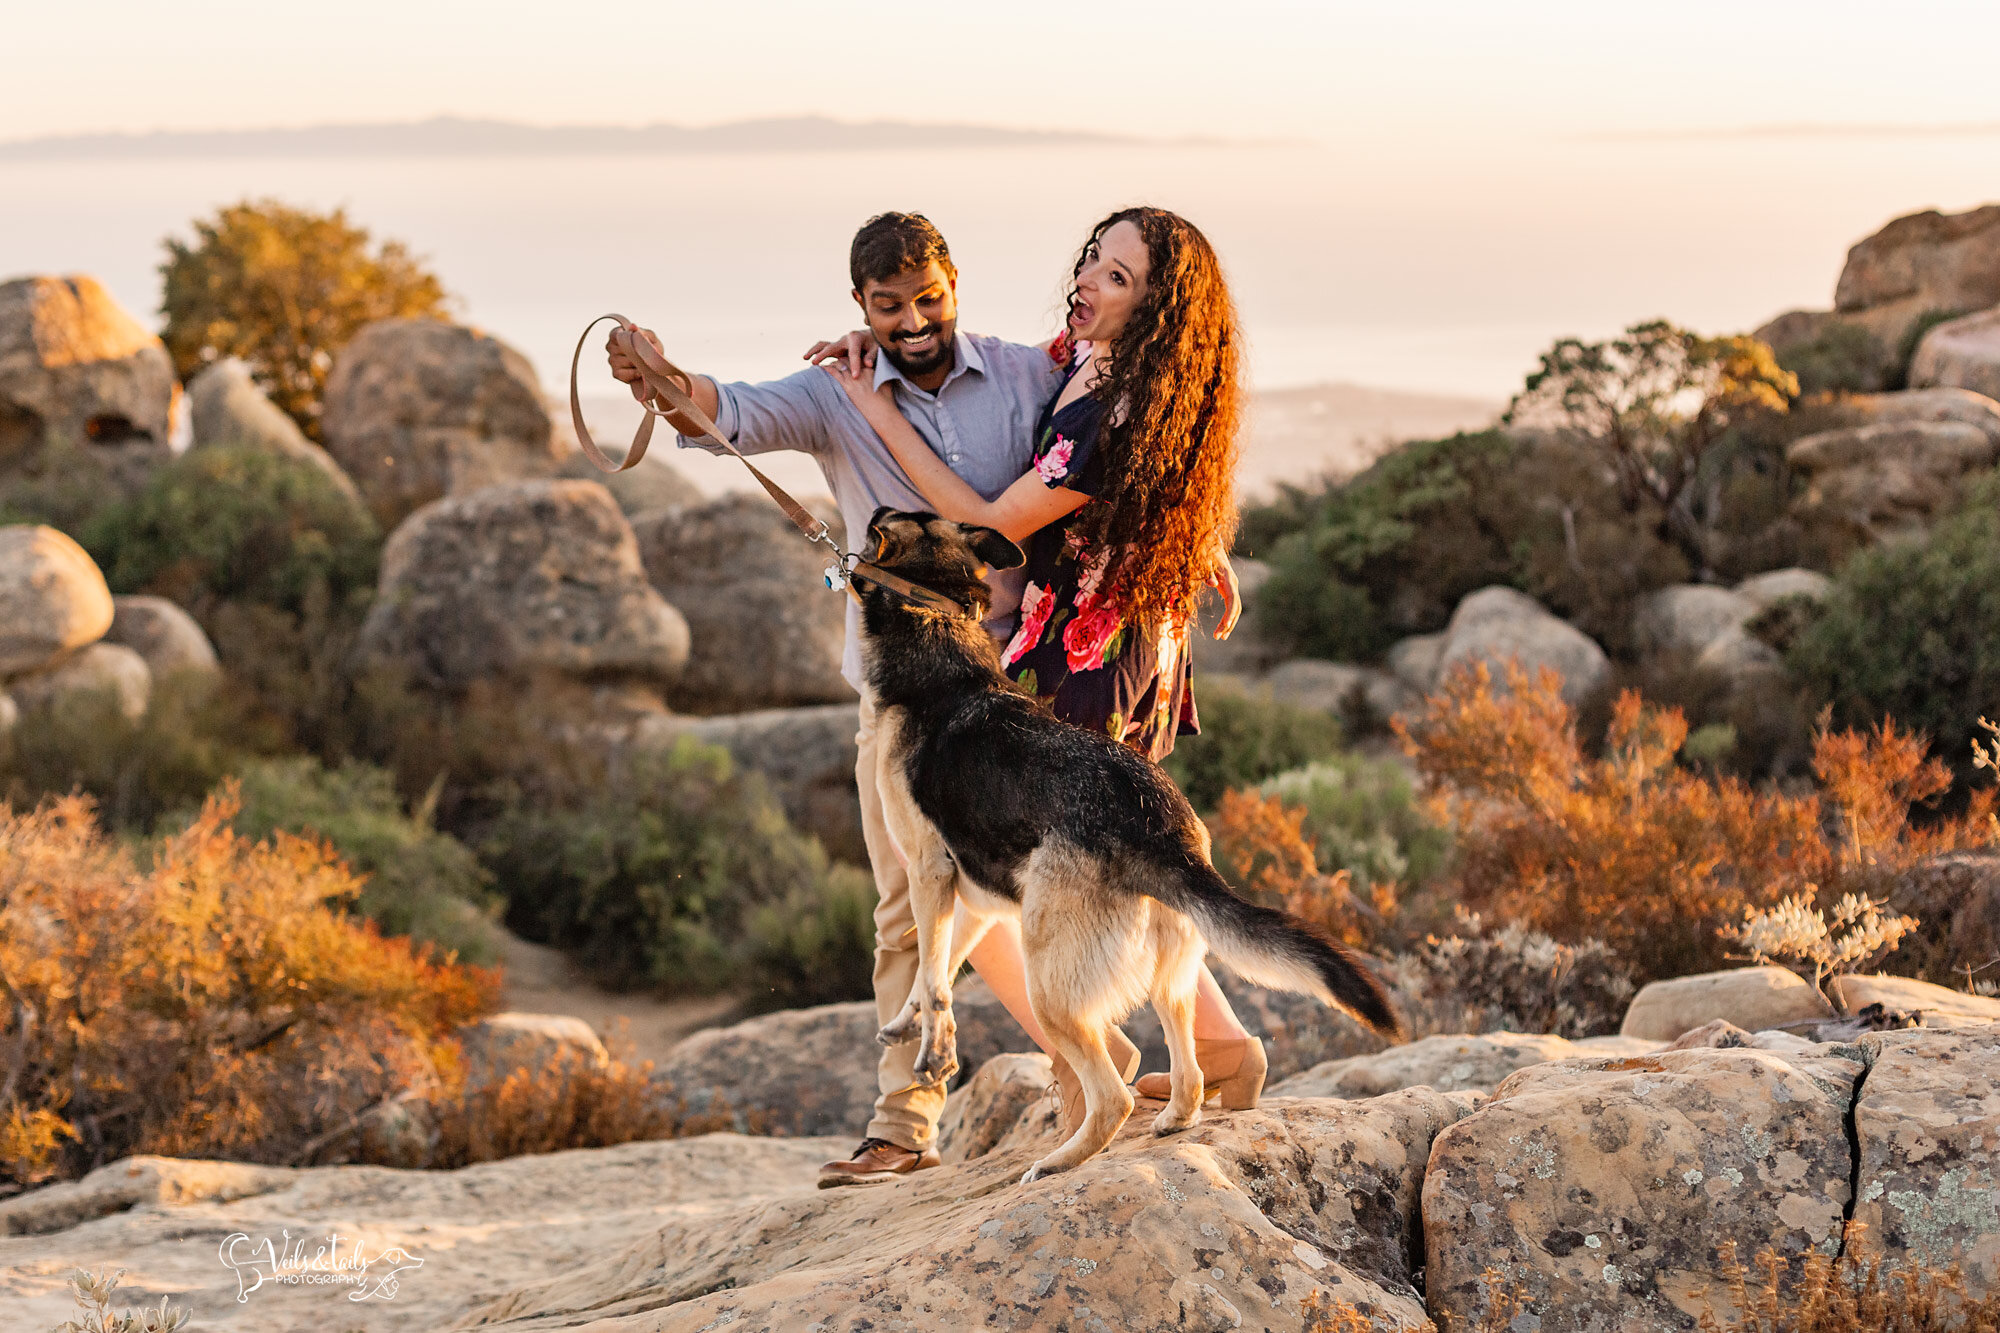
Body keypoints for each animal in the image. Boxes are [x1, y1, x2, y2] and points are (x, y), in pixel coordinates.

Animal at [860, 506, 1408, 1176]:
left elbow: (936, 976)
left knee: (1112, 1097)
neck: (937, 623)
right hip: (1169, 970)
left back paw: (1060, 1161)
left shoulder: (928, 869)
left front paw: (932, 1052)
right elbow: (935, 965)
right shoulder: (979, 901)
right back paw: (1175, 1116)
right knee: (1188, 1069)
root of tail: (1163, 835)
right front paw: (907, 1020)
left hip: (1049, 981)